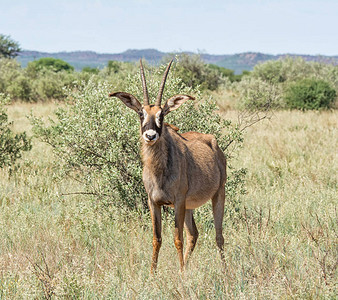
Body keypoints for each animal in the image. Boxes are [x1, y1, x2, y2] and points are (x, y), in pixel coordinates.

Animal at [110, 58, 227, 272]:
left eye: (162, 115)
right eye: (141, 113)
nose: (150, 136)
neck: (159, 171)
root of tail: (212, 141)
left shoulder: (178, 202)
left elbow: (177, 238)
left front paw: (180, 274)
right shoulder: (154, 202)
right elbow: (157, 239)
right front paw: (153, 273)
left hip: (217, 195)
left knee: (218, 236)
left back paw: (224, 270)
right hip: (190, 206)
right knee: (194, 234)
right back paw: (187, 266)